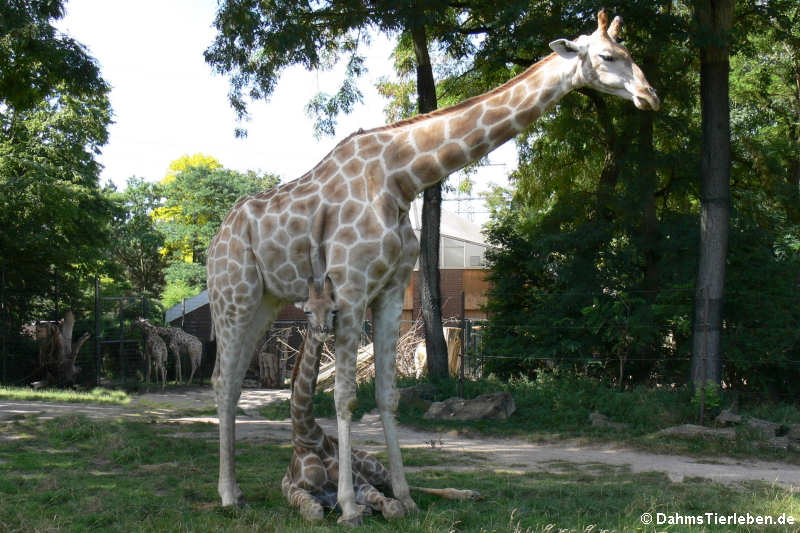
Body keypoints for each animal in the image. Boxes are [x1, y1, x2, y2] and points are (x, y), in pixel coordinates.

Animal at [284, 276, 478, 520]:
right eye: (307, 311)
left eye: (333, 310)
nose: (323, 329)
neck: (307, 437)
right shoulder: (298, 491)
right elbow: (314, 512)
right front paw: (360, 511)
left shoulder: (361, 484)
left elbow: (393, 508)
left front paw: (363, 510)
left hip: (376, 468)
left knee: (402, 486)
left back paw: (468, 494)